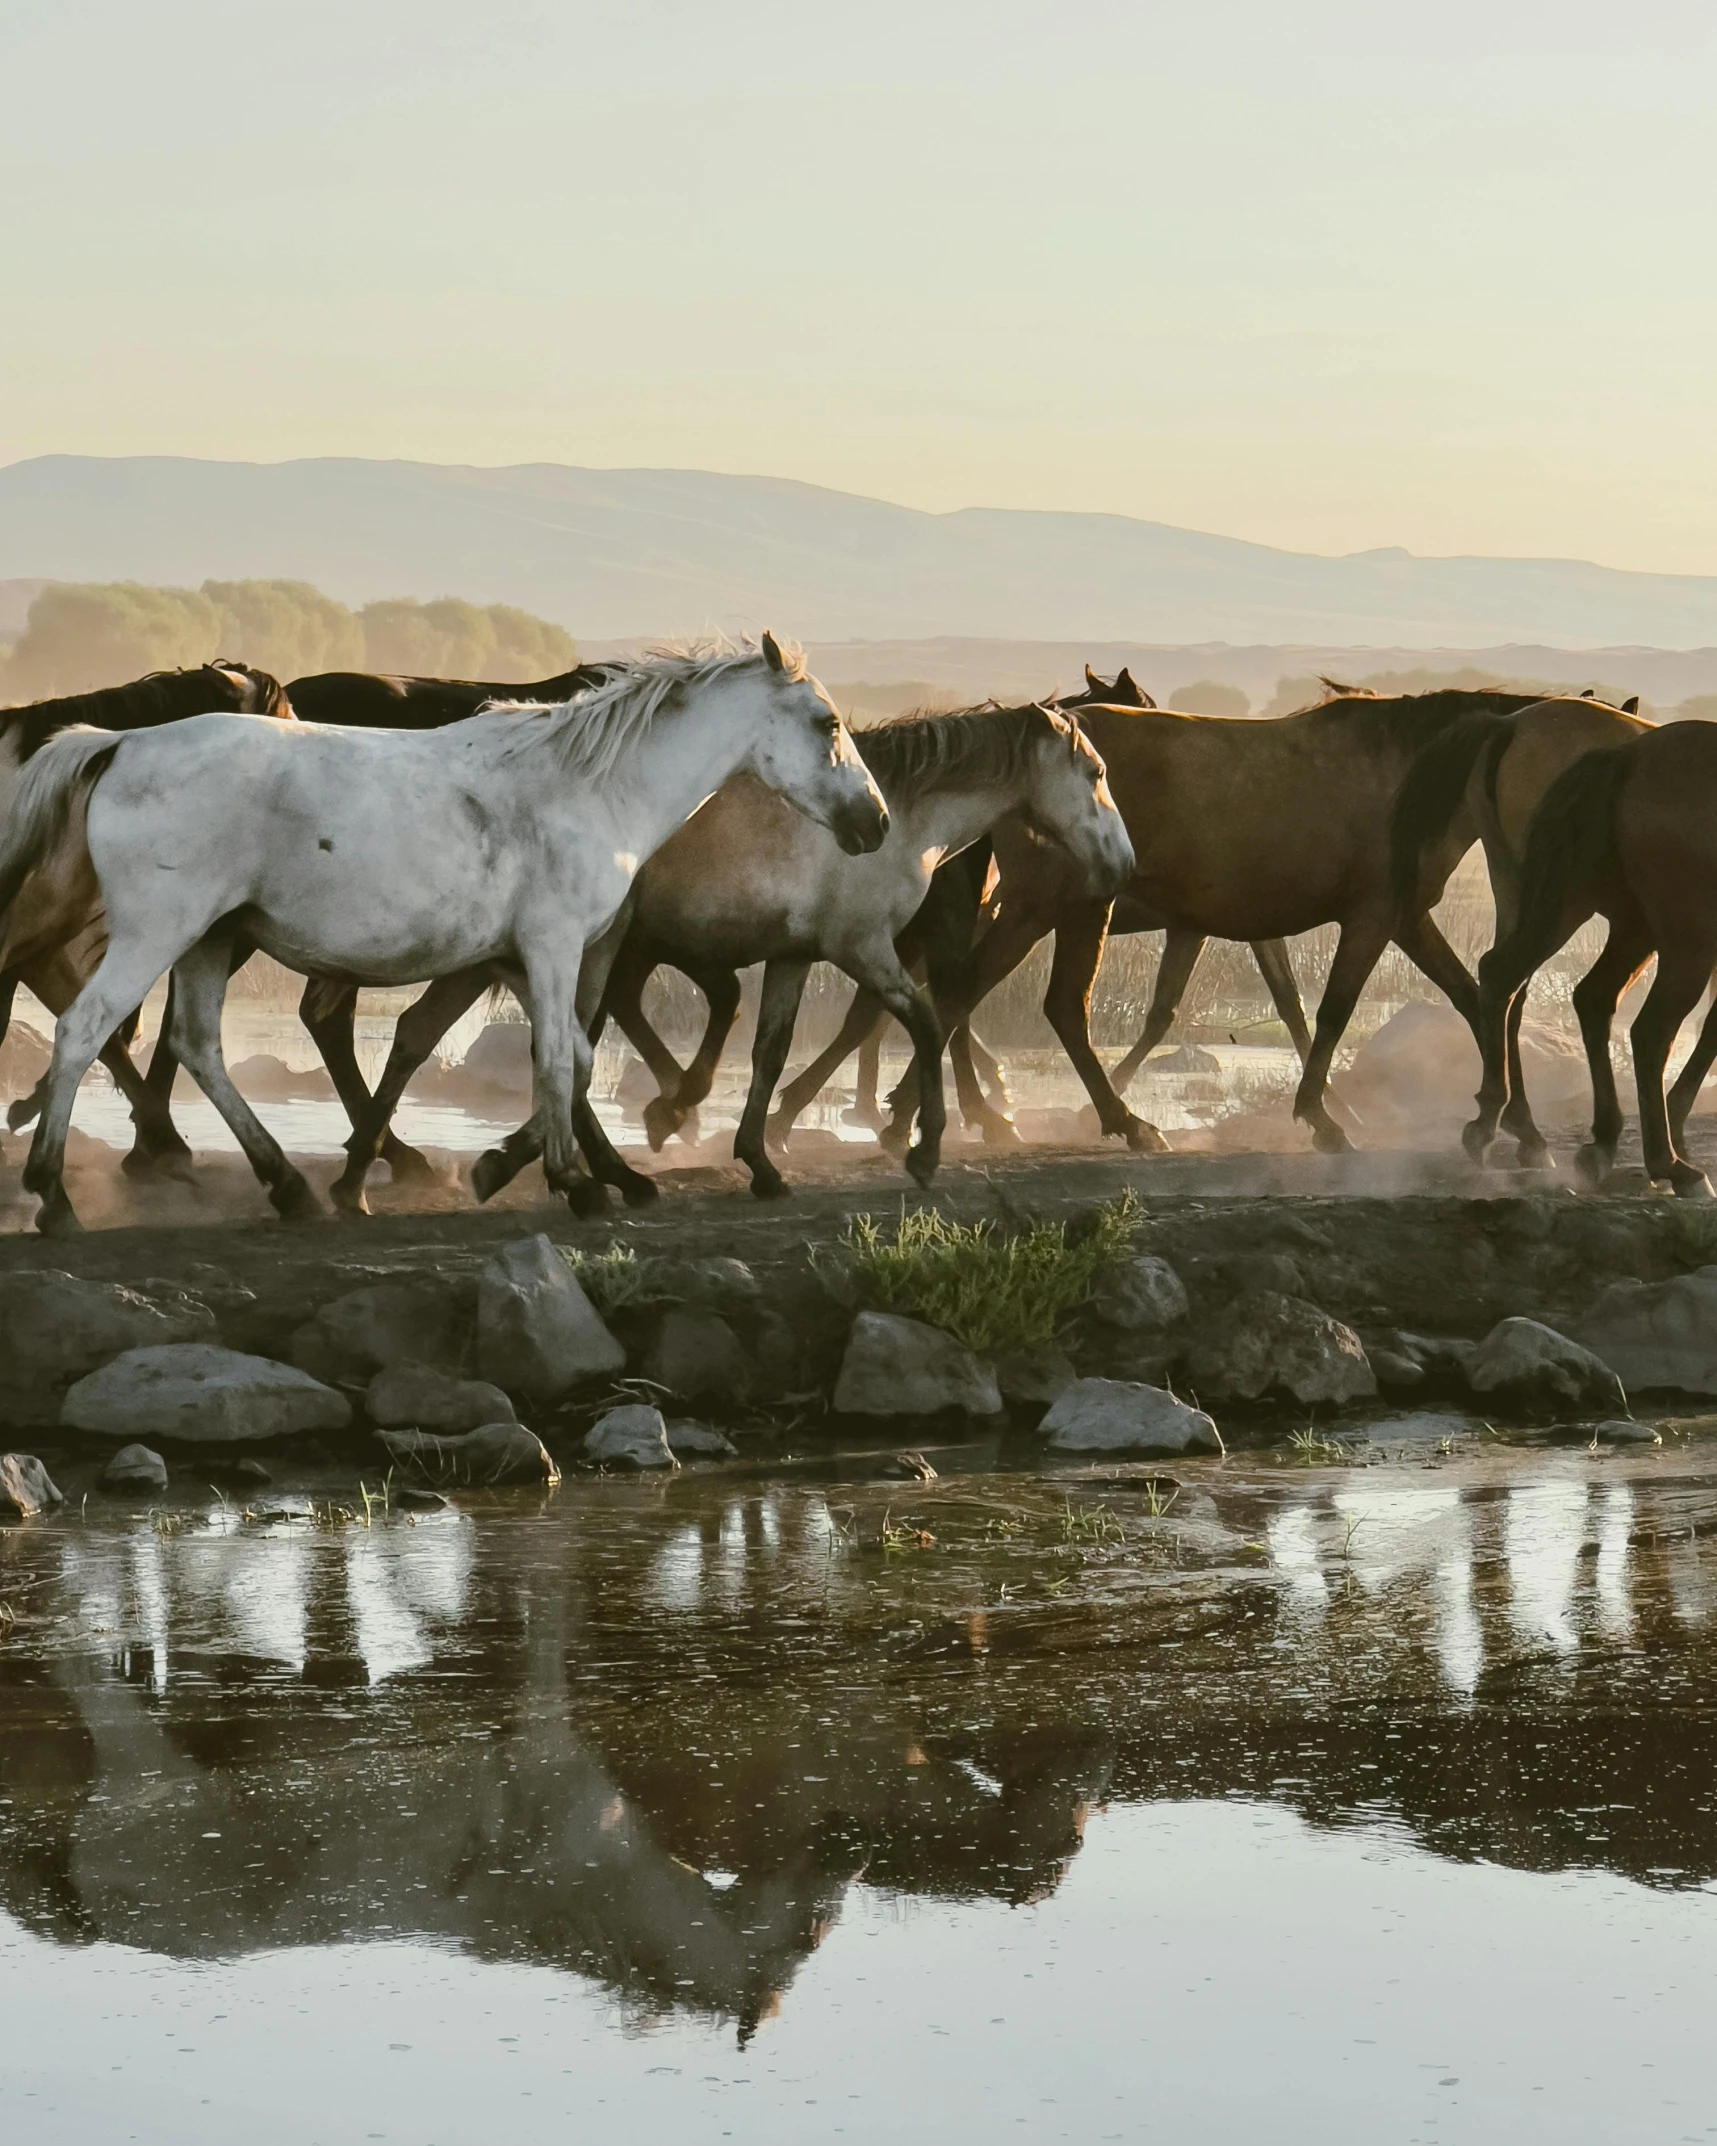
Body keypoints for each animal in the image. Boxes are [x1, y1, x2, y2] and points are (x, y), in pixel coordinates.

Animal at [0, 630, 884, 1244]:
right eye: (826, 722)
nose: (873, 823)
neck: (588, 786)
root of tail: (118, 744)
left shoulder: (521, 957)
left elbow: (575, 1057)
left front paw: (547, 1168)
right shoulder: (555, 946)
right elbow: (558, 1057)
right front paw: (576, 1182)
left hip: (208, 940)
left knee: (196, 1045)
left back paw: (289, 1187)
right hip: (161, 931)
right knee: (84, 1030)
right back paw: (55, 1196)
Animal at [892, 686, 1545, 1158]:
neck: (1407, 776)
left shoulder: (1403, 918)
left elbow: (1471, 999)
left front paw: (1515, 1123)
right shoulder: (1371, 918)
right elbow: (1332, 1012)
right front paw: (1323, 1120)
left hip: (1052, 909)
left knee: (977, 994)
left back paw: (917, 1117)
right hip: (1057, 905)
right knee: (1034, 1003)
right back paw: (1116, 1123)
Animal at [1459, 716, 1717, 1193]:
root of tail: (1627, 759)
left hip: (1603, 918)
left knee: (1538, 984)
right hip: (1685, 940)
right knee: (1650, 1031)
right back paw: (1669, 1163)